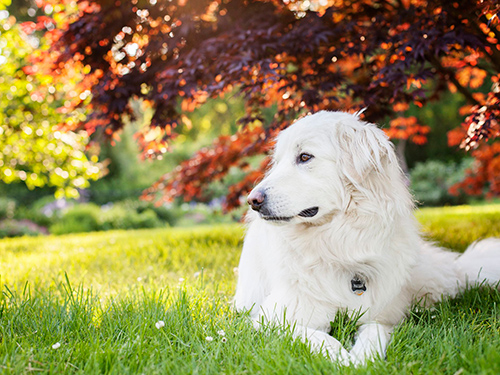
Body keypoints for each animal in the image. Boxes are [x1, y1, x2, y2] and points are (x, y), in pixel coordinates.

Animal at [233, 110, 500, 366]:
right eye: (277, 163)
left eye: (305, 157)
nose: (252, 200)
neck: (339, 243)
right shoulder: (273, 319)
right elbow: (318, 337)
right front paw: (342, 359)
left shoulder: (380, 316)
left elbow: (374, 333)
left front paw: (364, 359)